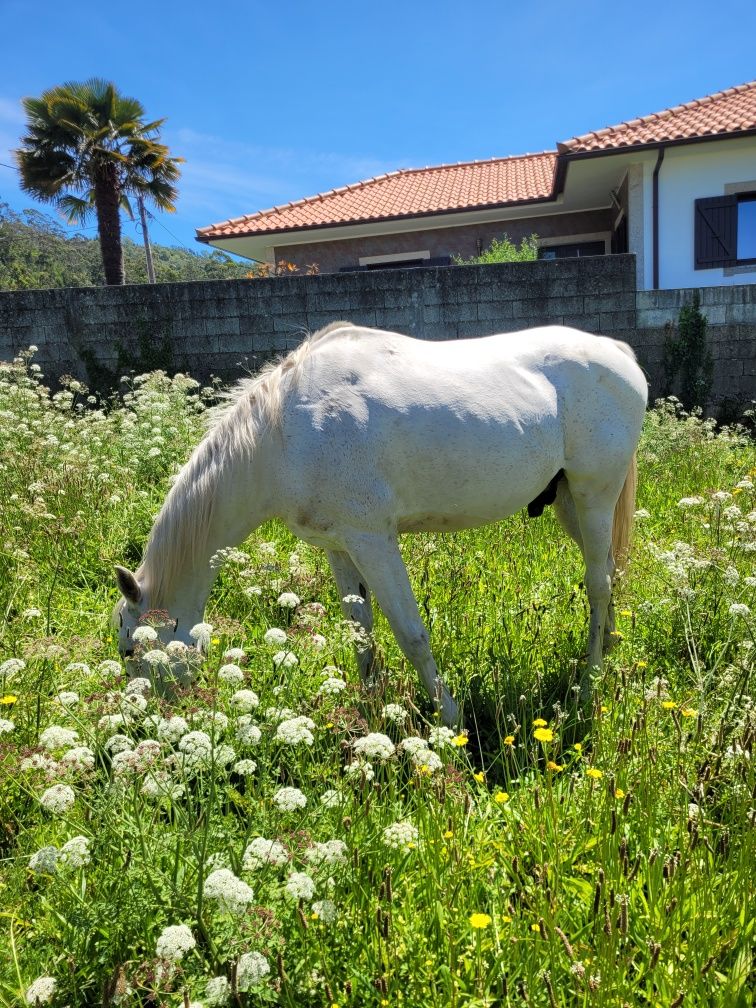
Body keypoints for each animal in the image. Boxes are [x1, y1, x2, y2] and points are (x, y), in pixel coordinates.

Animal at [115, 322, 649, 725]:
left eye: (130, 651)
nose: (145, 719)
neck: (282, 434)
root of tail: (618, 352)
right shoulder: (339, 546)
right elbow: (362, 630)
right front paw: (371, 709)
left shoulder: (374, 540)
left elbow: (410, 632)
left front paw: (450, 717)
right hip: (570, 502)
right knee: (610, 571)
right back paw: (609, 647)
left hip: (594, 494)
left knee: (598, 583)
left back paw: (589, 683)